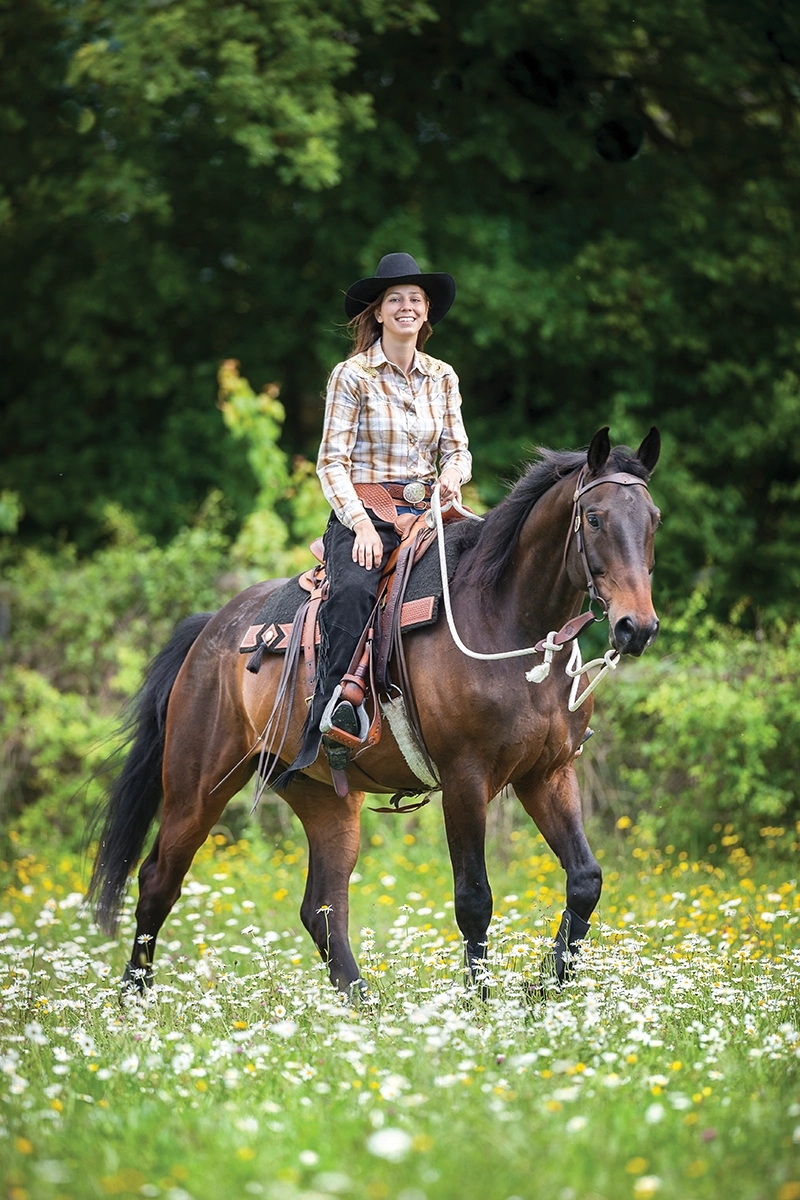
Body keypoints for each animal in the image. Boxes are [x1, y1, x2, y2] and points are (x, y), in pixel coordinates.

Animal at [88, 426, 661, 996]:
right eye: (594, 518)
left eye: (653, 519)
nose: (637, 627)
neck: (506, 622)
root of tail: (211, 629)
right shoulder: (466, 778)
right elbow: (474, 899)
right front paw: (480, 1003)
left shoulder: (548, 773)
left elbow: (585, 880)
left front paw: (547, 991)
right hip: (197, 788)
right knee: (158, 881)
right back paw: (134, 997)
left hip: (323, 796)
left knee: (321, 906)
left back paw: (360, 1003)